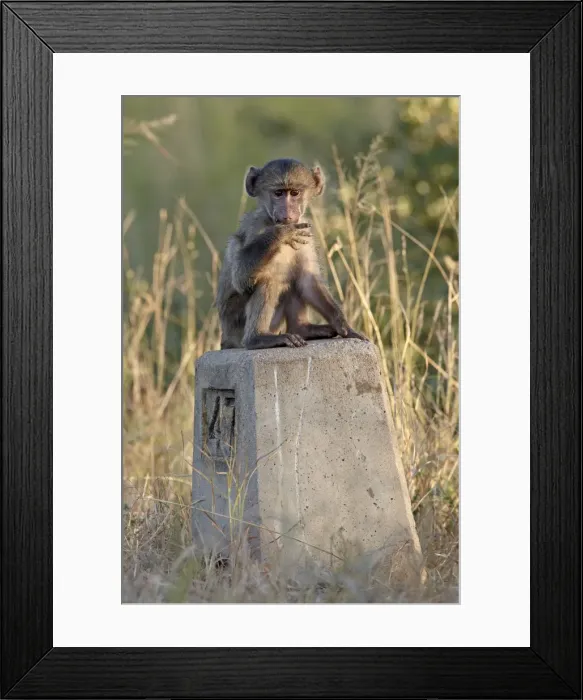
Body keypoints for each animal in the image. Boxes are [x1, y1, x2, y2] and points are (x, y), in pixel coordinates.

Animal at [215, 158, 368, 350]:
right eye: (278, 193)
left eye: (295, 193)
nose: (287, 213)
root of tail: (226, 340)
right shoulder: (256, 227)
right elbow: (242, 279)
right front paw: (282, 233)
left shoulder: (306, 233)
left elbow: (308, 281)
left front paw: (345, 326)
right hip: (235, 326)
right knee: (268, 279)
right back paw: (257, 338)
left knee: (293, 276)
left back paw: (303, 329)